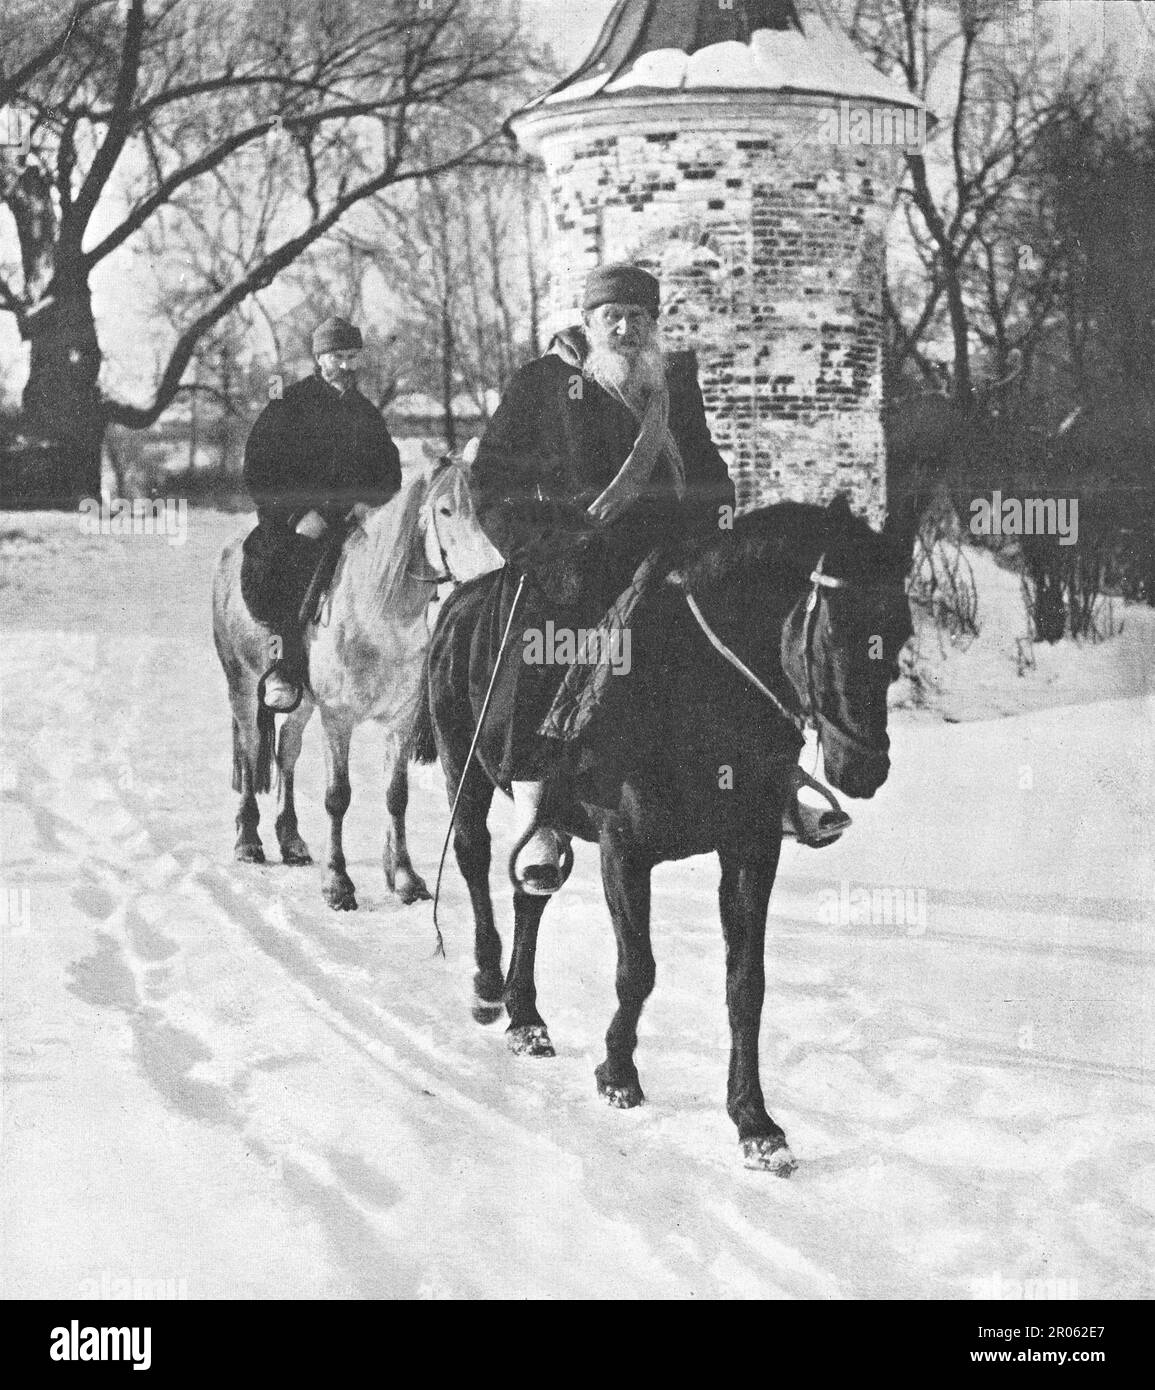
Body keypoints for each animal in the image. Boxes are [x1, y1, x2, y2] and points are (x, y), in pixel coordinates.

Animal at [212, 457, 500, 910]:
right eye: (446, 510)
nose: (493, 570)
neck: (377, 614)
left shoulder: (400, 719)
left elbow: (396, 795)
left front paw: (405, 878)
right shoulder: (338, 719)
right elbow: (337, 797)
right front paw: (338, 884)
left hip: (303, 704)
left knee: (286, 751)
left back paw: (292, 841)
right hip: (241, 687)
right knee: (249, 749)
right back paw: (248, 840)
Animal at [415, 496, 912, 1171]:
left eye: (902, 631)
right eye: (836, 631)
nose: (865, 767)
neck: (698, 691)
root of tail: (459, 601)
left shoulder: (750, 852)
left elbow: (746, 985)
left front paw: (754, 1122)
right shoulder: (625, 851)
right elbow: (638, 970)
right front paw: (617, 1073)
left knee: (531, 892)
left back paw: (527, 1018)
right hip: (464, 775)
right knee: (473, 857)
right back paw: (491, 990)